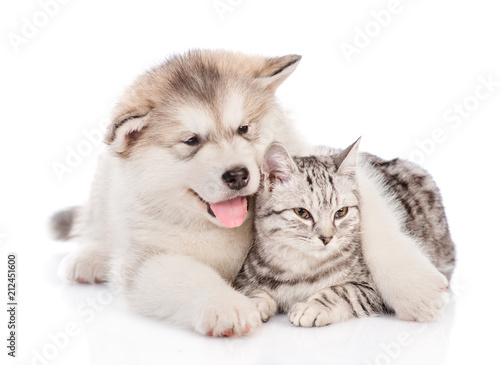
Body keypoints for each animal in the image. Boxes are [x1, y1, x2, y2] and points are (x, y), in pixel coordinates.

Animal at [233, 138, 454, 326]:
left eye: (341, 212)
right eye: (302, 213)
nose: (327, 238)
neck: (300, 268)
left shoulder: (370, 289)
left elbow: (343, 291)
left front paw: (312, 307)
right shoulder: (243, 277)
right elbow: (252, 291)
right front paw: (253, 303)